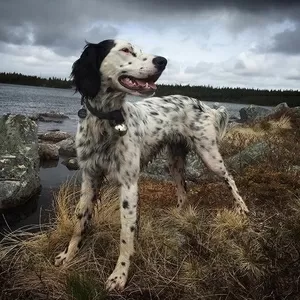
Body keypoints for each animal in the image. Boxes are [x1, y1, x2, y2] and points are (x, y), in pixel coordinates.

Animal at [55, 39, 250, 290]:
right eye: (126, 50)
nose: (163, 61)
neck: (107, 121)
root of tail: (203, 105)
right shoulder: (89, 176)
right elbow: (80, 222)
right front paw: (68, 255)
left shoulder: (129, 183)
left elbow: (126, 233)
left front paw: (119, 275)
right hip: (174, 162)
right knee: (183, 192)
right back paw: (178, 216)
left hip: (209, 155)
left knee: (229, 178)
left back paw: (242, 208)